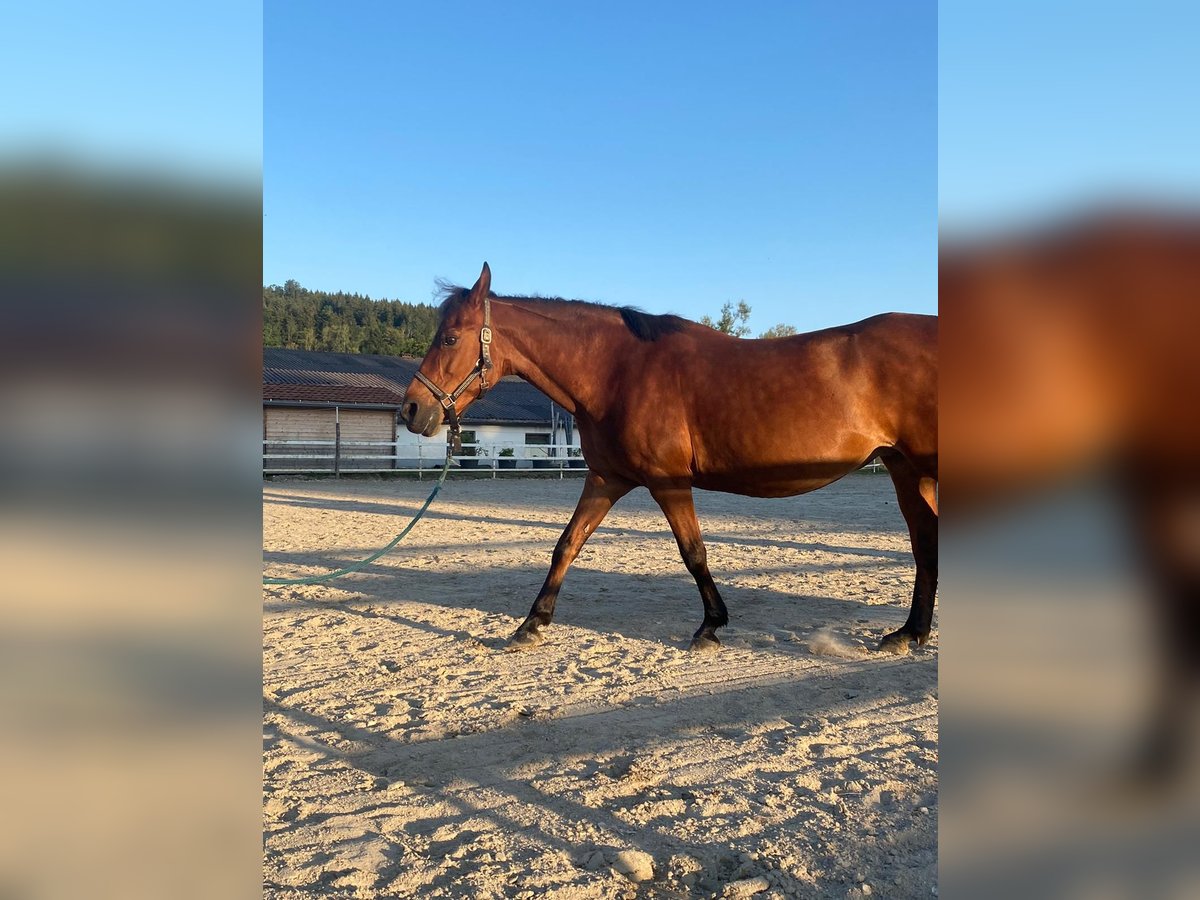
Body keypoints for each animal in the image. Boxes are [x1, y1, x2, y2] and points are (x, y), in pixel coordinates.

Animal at [403, 266, 936, 657]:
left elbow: (693, 552)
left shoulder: (668, 482)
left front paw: (710, 627)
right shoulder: (606, 479)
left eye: (449, 339)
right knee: (924, 542)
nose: (412, 410)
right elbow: (566, 545)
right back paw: (909, 633)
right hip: (905, 469)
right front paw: (532, 623)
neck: (618, 372)